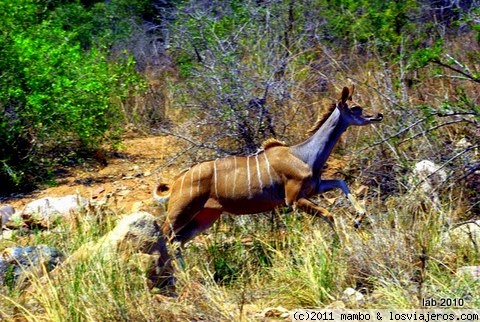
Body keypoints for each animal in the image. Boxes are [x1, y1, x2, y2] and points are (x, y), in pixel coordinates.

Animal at [157, 85, 382, 244]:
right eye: (355, 108)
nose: (378, 115)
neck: (304, 154)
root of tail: (176, 182)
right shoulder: (293, 199)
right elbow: (329, 214)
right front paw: (345, 244)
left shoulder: (314, 188)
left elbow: (341, 182)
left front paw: (358, 218)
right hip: (180, 211)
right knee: (164, 237)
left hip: (207, 215)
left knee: (177, 241)